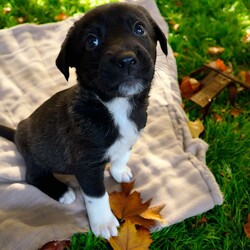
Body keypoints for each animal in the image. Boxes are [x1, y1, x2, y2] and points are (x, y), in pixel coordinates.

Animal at [0, 2, 168, 239]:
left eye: (139, 29)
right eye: (92, 41)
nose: (126, 60)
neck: (114, 106)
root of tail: (17, 132)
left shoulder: (131, 137)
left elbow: (122, 154)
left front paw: (119, 170)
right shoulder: (87, 166)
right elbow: (97, 196)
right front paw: (104, 222)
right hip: (37, 156)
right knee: (32, 176)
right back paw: (62, 191)